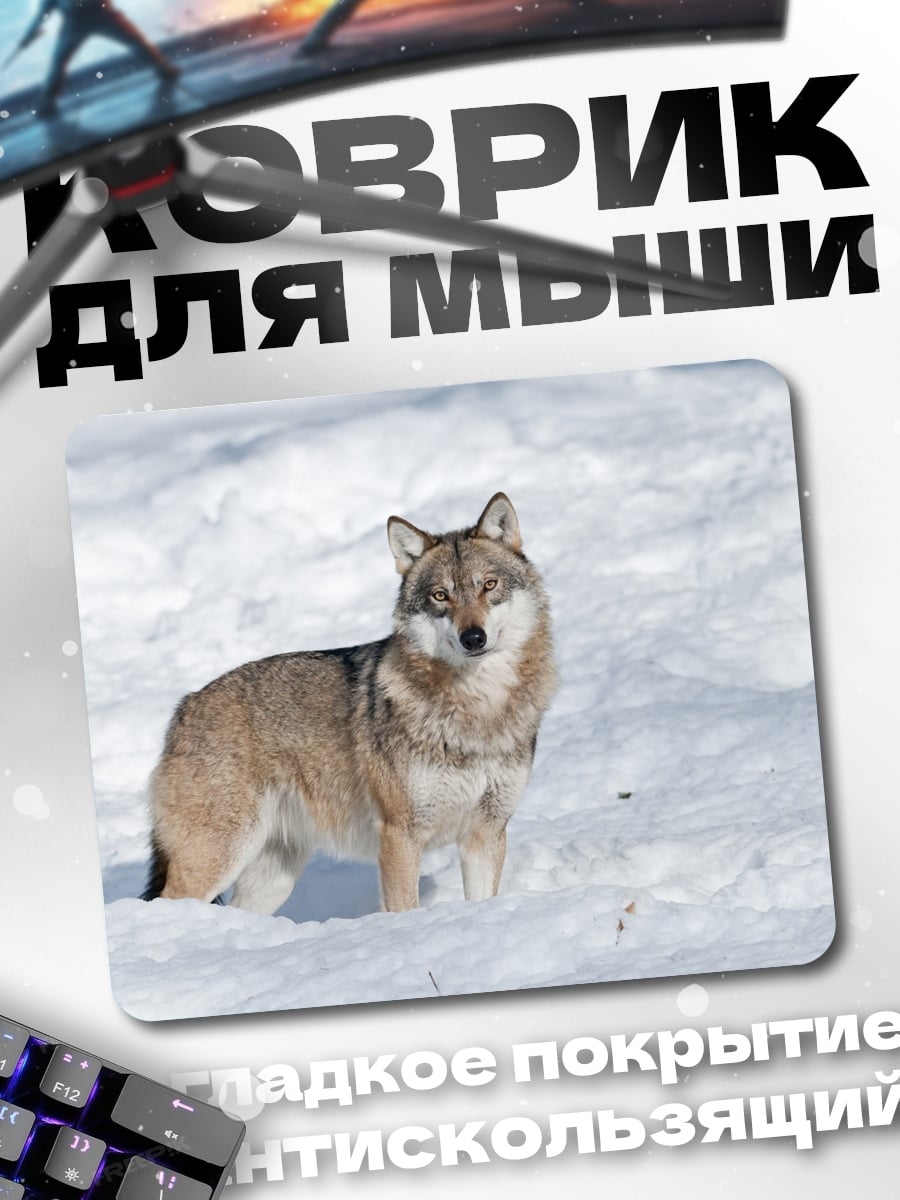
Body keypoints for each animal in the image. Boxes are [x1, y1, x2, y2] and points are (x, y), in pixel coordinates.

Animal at [142, 493, 556, 916]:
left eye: (489, 585)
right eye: (441, 596)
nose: (473, 637)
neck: (479, 709)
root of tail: (184, 708)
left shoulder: (486, 831)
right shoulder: (399, 834)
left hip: (271, 877)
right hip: (217, 857)